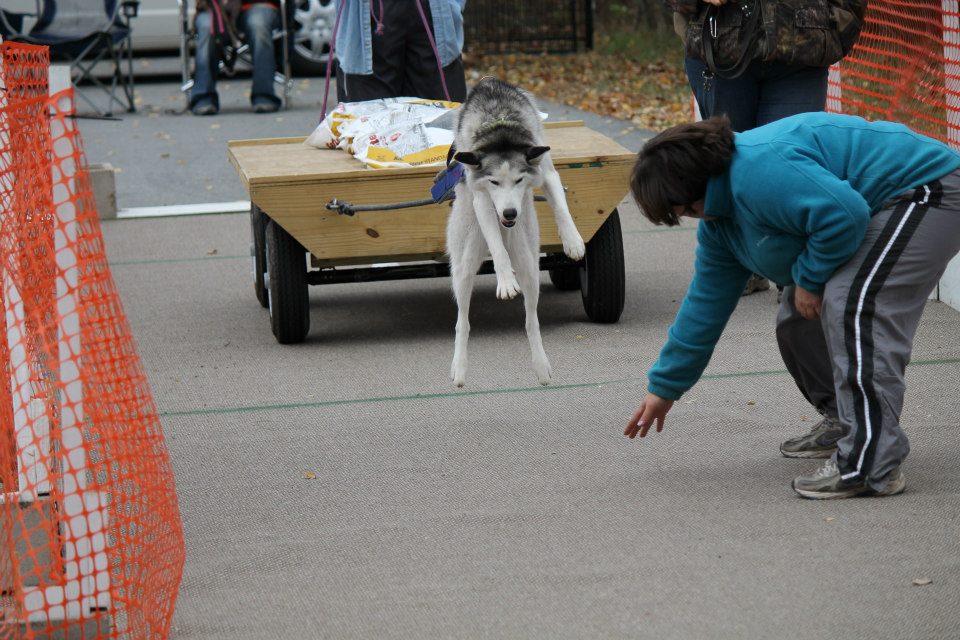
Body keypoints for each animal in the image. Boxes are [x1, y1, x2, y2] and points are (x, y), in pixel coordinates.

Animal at [444, 76, 584, 384]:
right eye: (495, 182)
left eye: (519, 180)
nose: (509, 214)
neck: (500, 128)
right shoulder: (483, 199)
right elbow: (497, 249)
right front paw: (506, 280)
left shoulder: (546, 172)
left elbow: (561, 207)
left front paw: (573, 241)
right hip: (464, 267)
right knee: (462, 321)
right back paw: (459, 368)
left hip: (529, 265)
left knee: (531, 320)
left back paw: (541, 366)